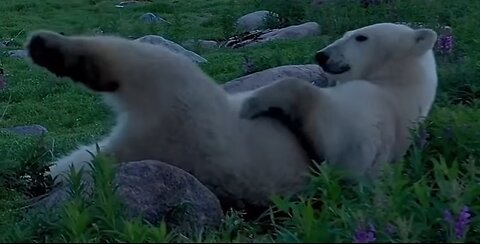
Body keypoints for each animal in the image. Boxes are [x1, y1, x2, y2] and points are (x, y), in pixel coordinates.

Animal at [240, 22, 438, 179]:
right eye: (346, 34)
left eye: (361, 37)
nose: (321, 55)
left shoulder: (372, 109)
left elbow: (331, 133)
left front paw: (251, 103)